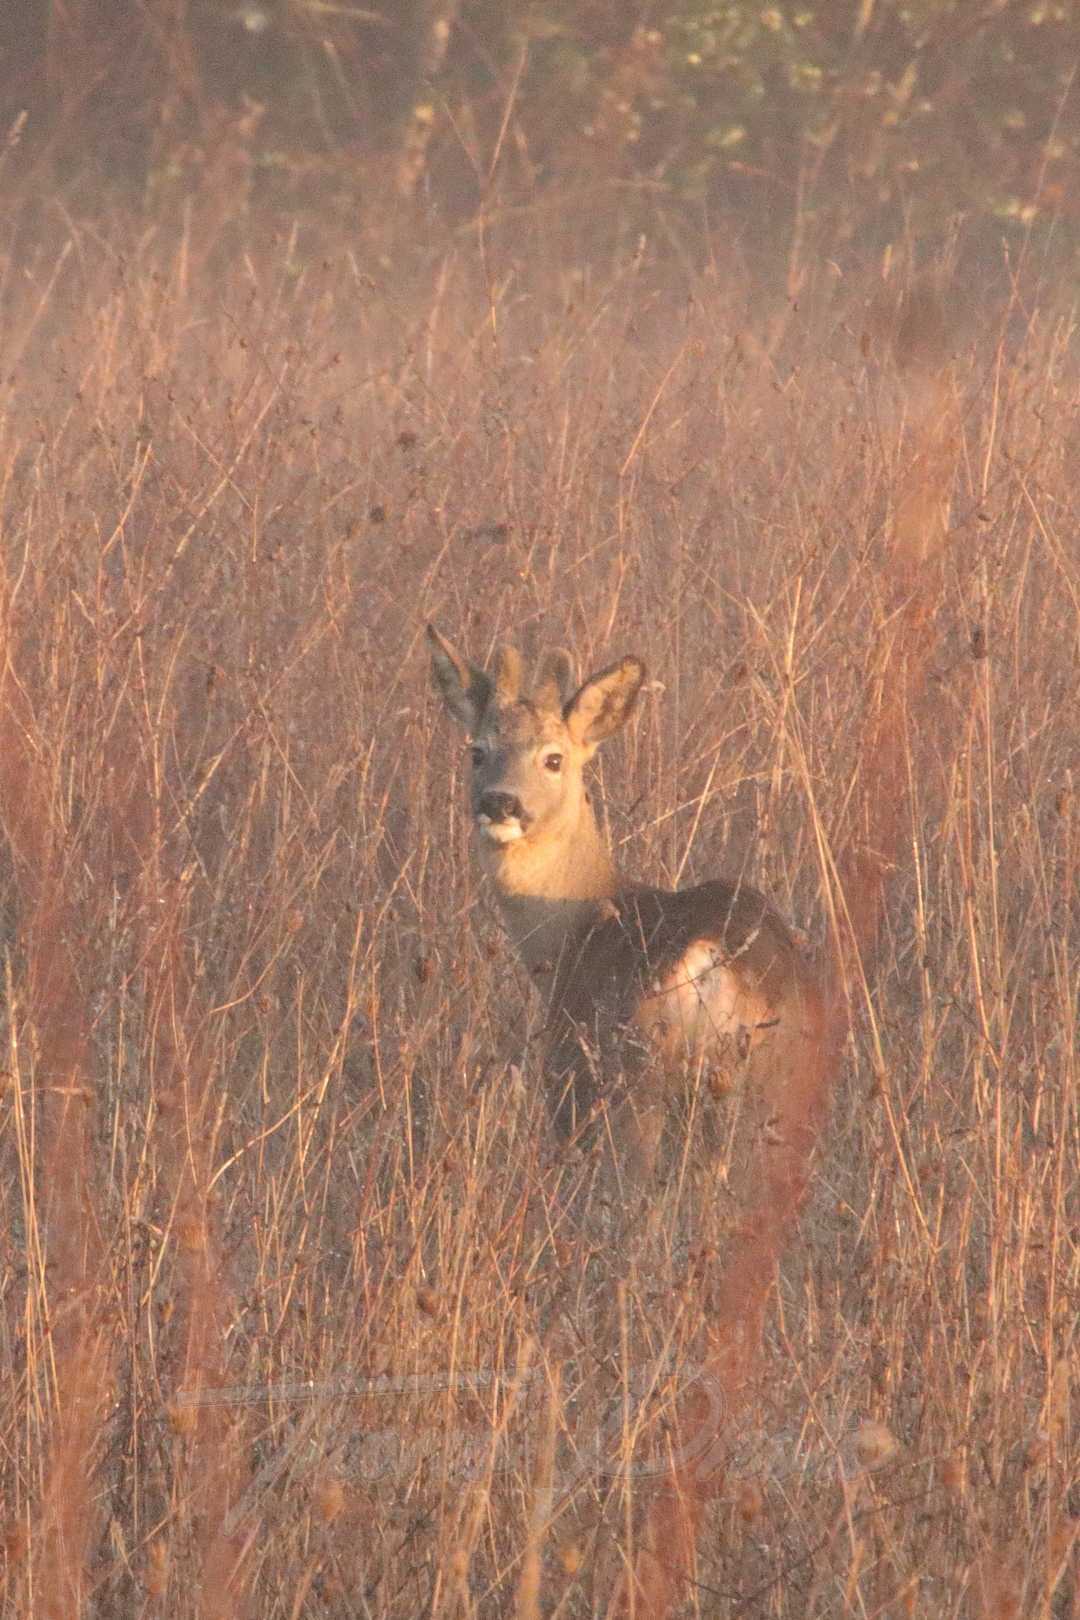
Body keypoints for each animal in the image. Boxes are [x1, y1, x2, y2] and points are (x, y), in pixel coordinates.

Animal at [427, 625, 822, 1185]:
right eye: (477, 751)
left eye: (553, 758)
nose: (499, 803)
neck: (576, 931)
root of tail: (709, 958)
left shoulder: (567, 1080)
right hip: (778, 1088)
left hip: (631, 1085)